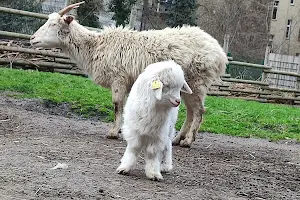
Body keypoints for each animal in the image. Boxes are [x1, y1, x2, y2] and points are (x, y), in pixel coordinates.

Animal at [29, 1, 227, 148]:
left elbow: (117, 105)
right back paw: (177, 139)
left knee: (199, 111)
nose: (32, 39)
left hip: (198, 80)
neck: (95, 47)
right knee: (191, 111)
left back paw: (188, 141)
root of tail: (220, 54)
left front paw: (113, 132)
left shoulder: (118, 78)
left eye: (53, 24)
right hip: (187, 85)